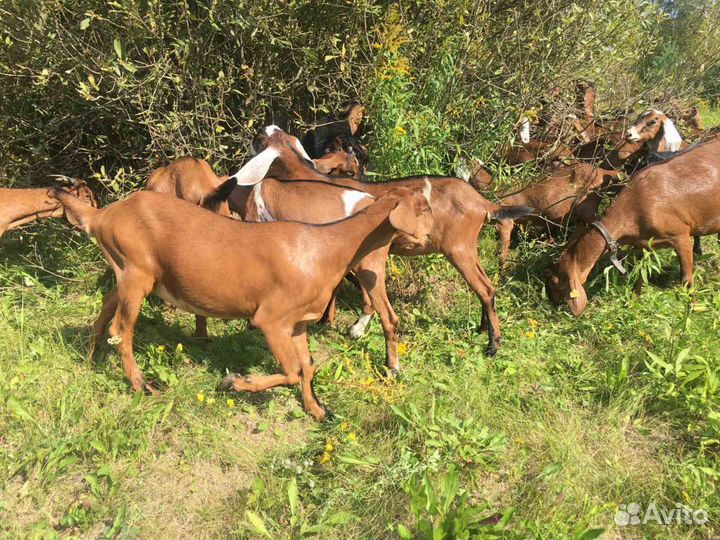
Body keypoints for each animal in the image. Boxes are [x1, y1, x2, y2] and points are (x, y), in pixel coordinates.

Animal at [50, 183, 433, 420]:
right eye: (423, 208)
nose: (429, 236)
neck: (325, 248)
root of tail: (104, 216)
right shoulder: (272, 320)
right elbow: (292, 372)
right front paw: (233, 383)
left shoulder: (298, 324)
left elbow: (307, 367)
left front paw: (317, 410)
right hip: (137, 272)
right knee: (121, 329)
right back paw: (141, 385)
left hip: (127, 272)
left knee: (104, 312)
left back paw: (91, 360)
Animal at [227, 126, 534, 364]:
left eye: (258, 139)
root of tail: (483, 203)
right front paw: (333, 321)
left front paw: (353, 327)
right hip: (467, 247)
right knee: (487, 286)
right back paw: (483, 328)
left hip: (458, 248)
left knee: (484, 287)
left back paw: (493, 345)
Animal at [546, 139, 720, 316]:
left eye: (554, 282)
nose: (552, 303)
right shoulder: (645, 244)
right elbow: (640, 274)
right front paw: (632, 303)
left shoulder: (680, 234)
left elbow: (686, 279)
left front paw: (694, 308)